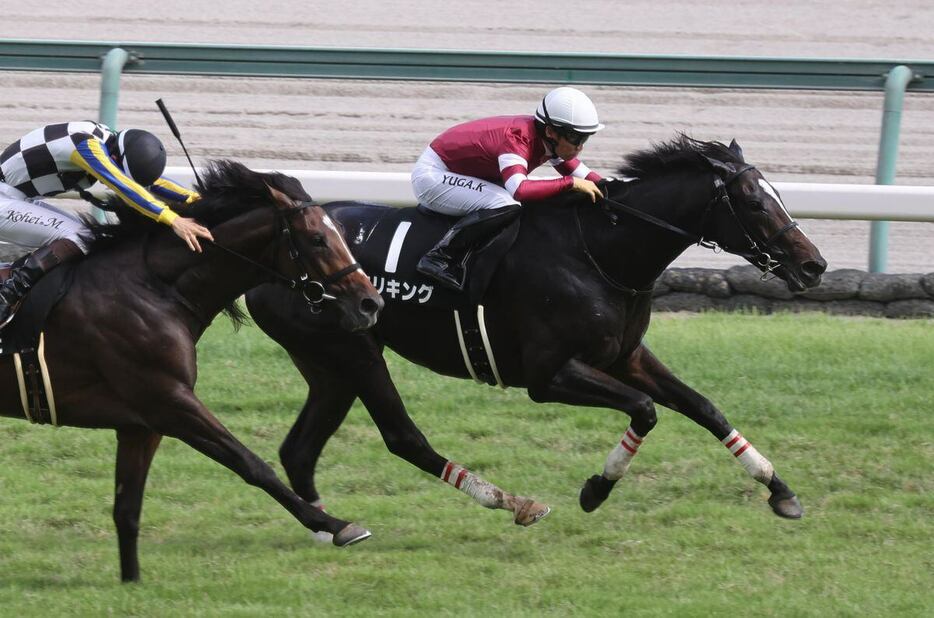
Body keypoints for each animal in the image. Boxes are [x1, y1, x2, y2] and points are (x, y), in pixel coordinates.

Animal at [0, 159, 384, 576]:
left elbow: (127, 510)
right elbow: (251, 463)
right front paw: (336, 525)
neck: (154, 289)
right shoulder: (170, 401)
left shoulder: (141, 424)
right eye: (316, 239)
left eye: (342, 233)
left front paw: (131, 581)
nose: (370, 303)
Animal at [247, 137, 828, 532]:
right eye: (754, 203)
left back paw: (327, 526)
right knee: (401, 437)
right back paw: (509, 503)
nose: (814, 265)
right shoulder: (549, 376)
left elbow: (706, 408)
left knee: (299, 450)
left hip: (327, 364)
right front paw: (596, 489)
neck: (597, 251)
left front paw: (780, 490)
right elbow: (645, 410)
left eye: (777, 194)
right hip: (354, 349)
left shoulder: (626, 355)